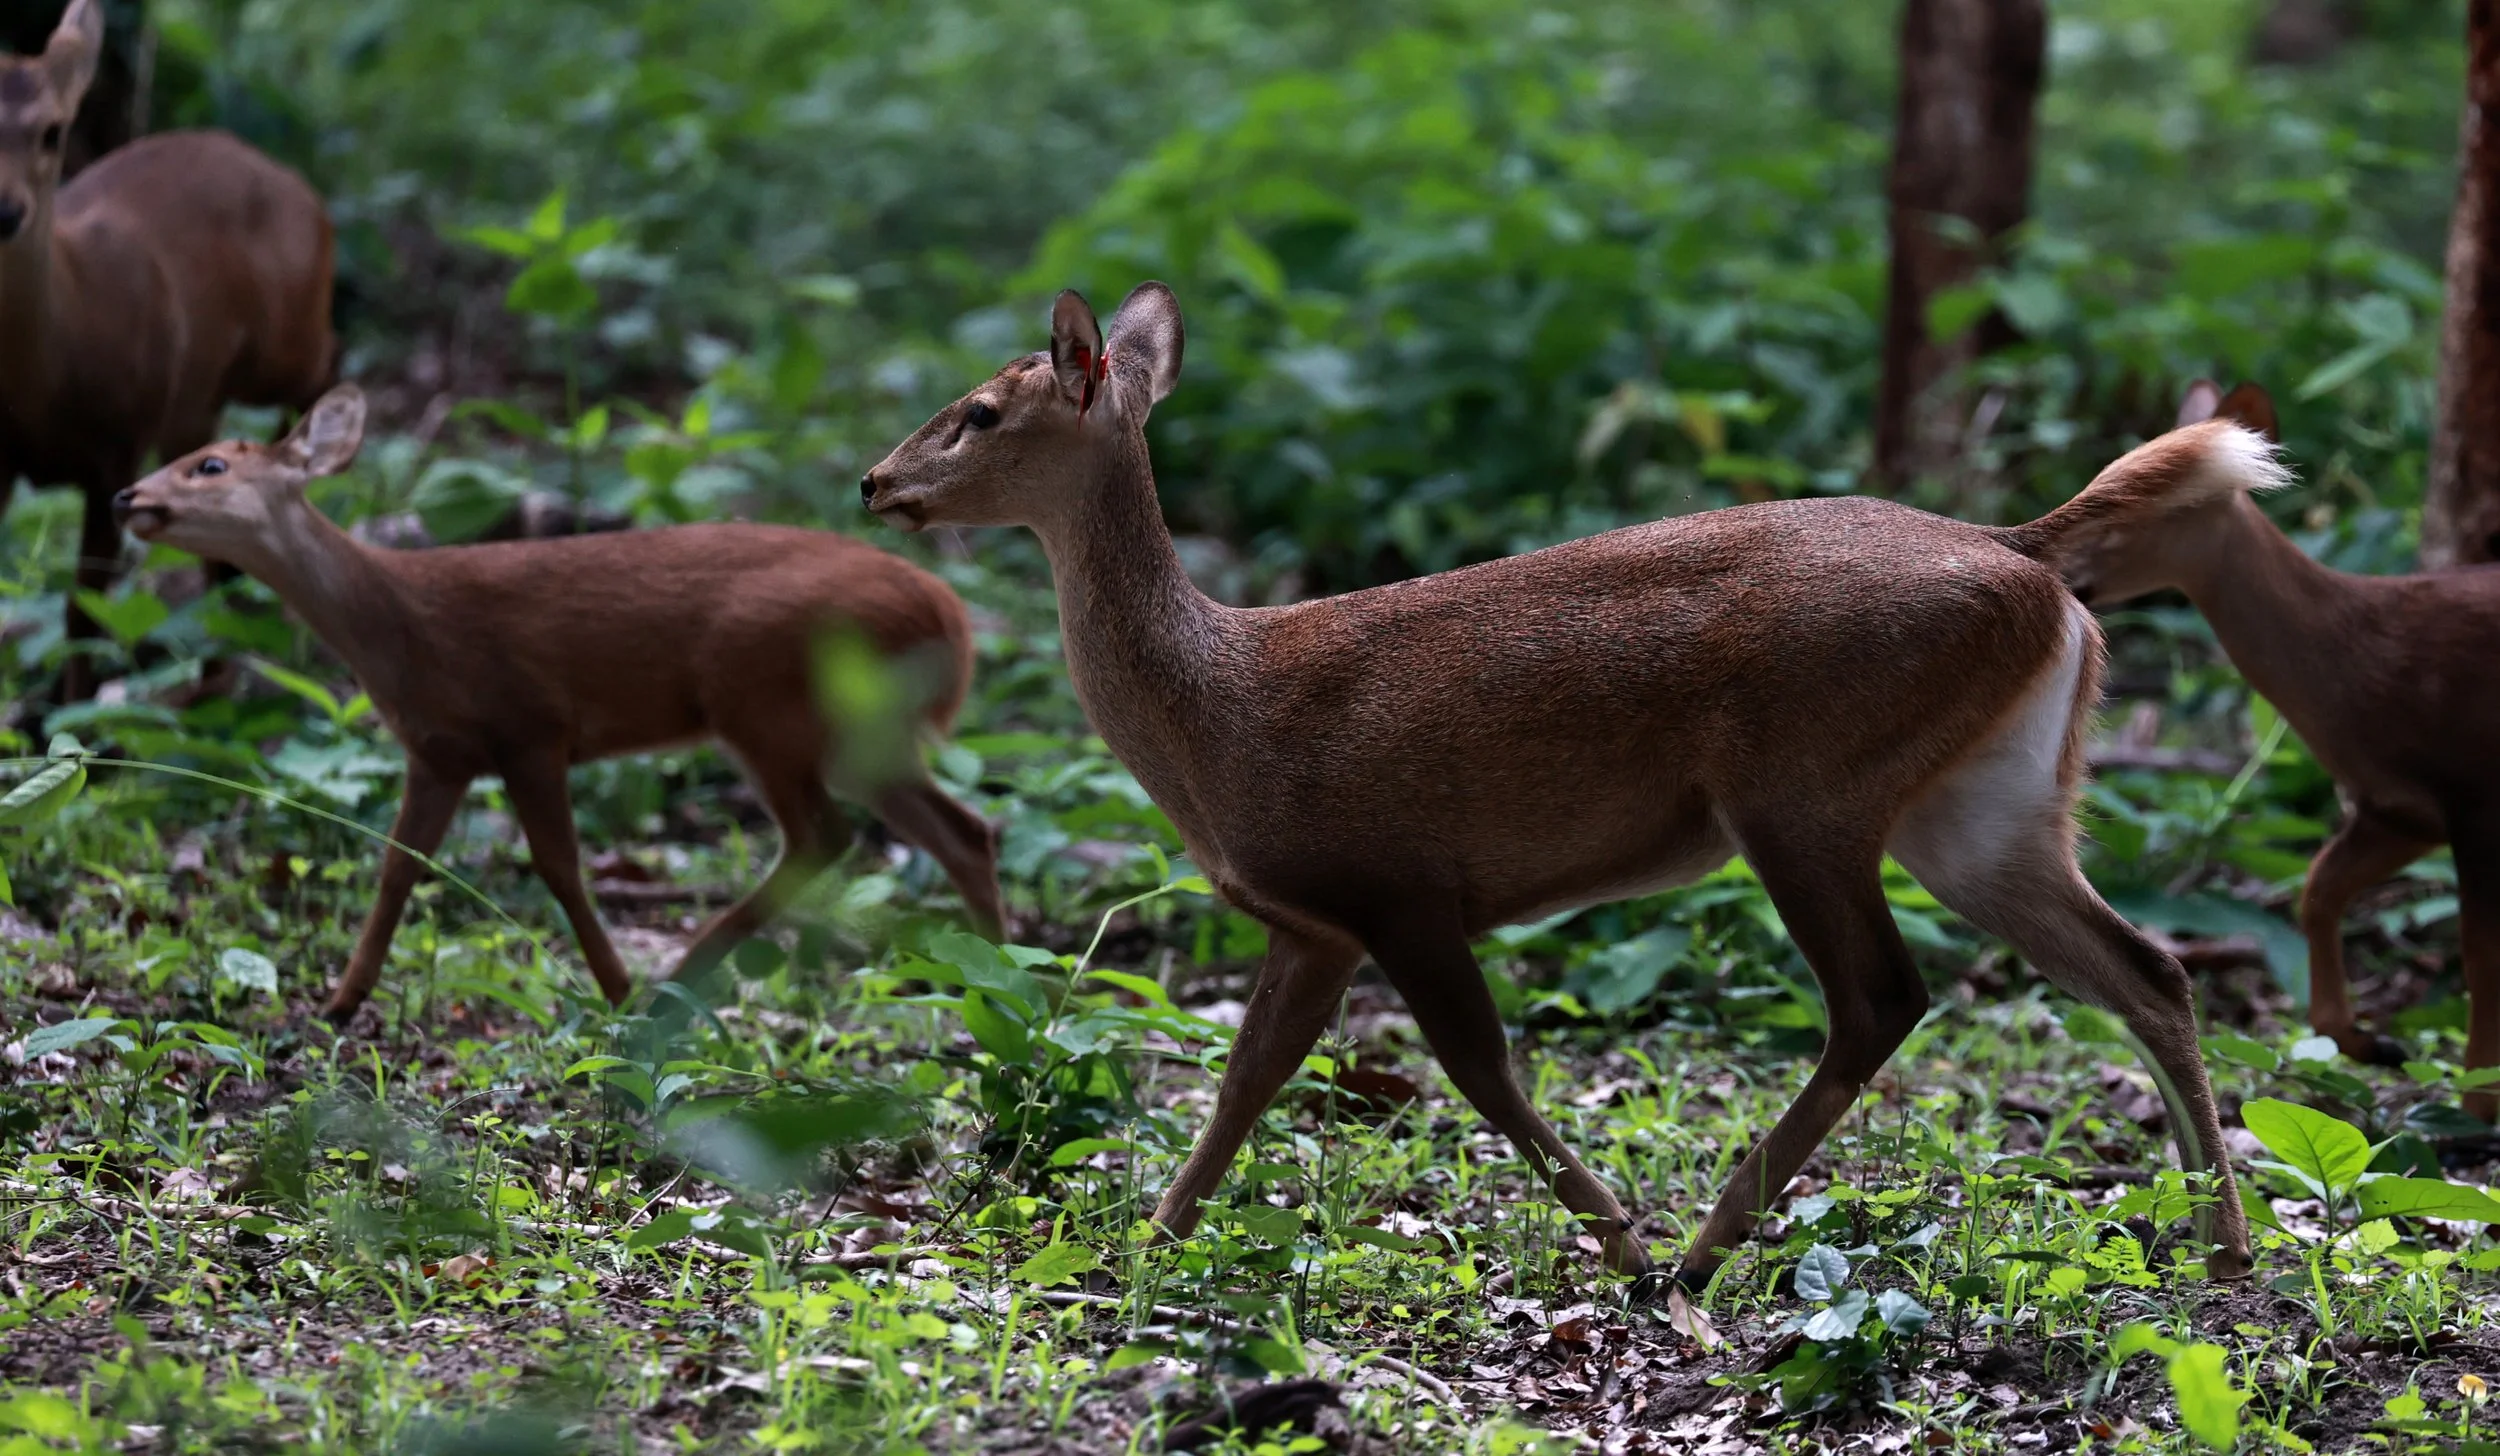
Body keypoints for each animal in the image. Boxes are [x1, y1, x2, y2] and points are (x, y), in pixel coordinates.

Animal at [0, 0, 335, 701]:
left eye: (51, 131)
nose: (5, 211)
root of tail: (299, 188)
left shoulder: (117, 447)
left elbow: (83, 612)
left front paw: (78, 721)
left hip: (283, 340)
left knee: (329, 358)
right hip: (195, 401)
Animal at [112, 384, 1005, 1024]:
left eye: (209, 466)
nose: (126, 497)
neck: (401, 621)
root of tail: (947, 614)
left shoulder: (532, 727)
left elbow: (558, 866)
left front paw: (614, 990)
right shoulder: (440, 750)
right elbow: (398, 867)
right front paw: (338, 1003)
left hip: (766, 697)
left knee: (825, 836)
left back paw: (679, 975)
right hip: (857, 730)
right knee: (963, 831)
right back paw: (997, 985)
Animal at [860, 281, 2256, 1289]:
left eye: (980, 410)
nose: (873, 480)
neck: (1219, 709)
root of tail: (2024, 555)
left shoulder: (1399, 884)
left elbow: (1477, 1066)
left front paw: (1619, 1239)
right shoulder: (1315, 920)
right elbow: (1246, 1078)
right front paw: (1148, 1244)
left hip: (1805, 789)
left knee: (1882, 997)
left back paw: (1699, 1250)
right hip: (1986, 807)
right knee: (2146, 968)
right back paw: (2223, 1241)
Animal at [2009, 379, 2500, 1120]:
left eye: (2149, 505)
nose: (2057, 566)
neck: (2372, 663)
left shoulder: (2471, 792)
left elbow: (2478, 956)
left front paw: (2476, 1105)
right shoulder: (2398, 809)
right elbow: (2317, 891)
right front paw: (2369, 1042)